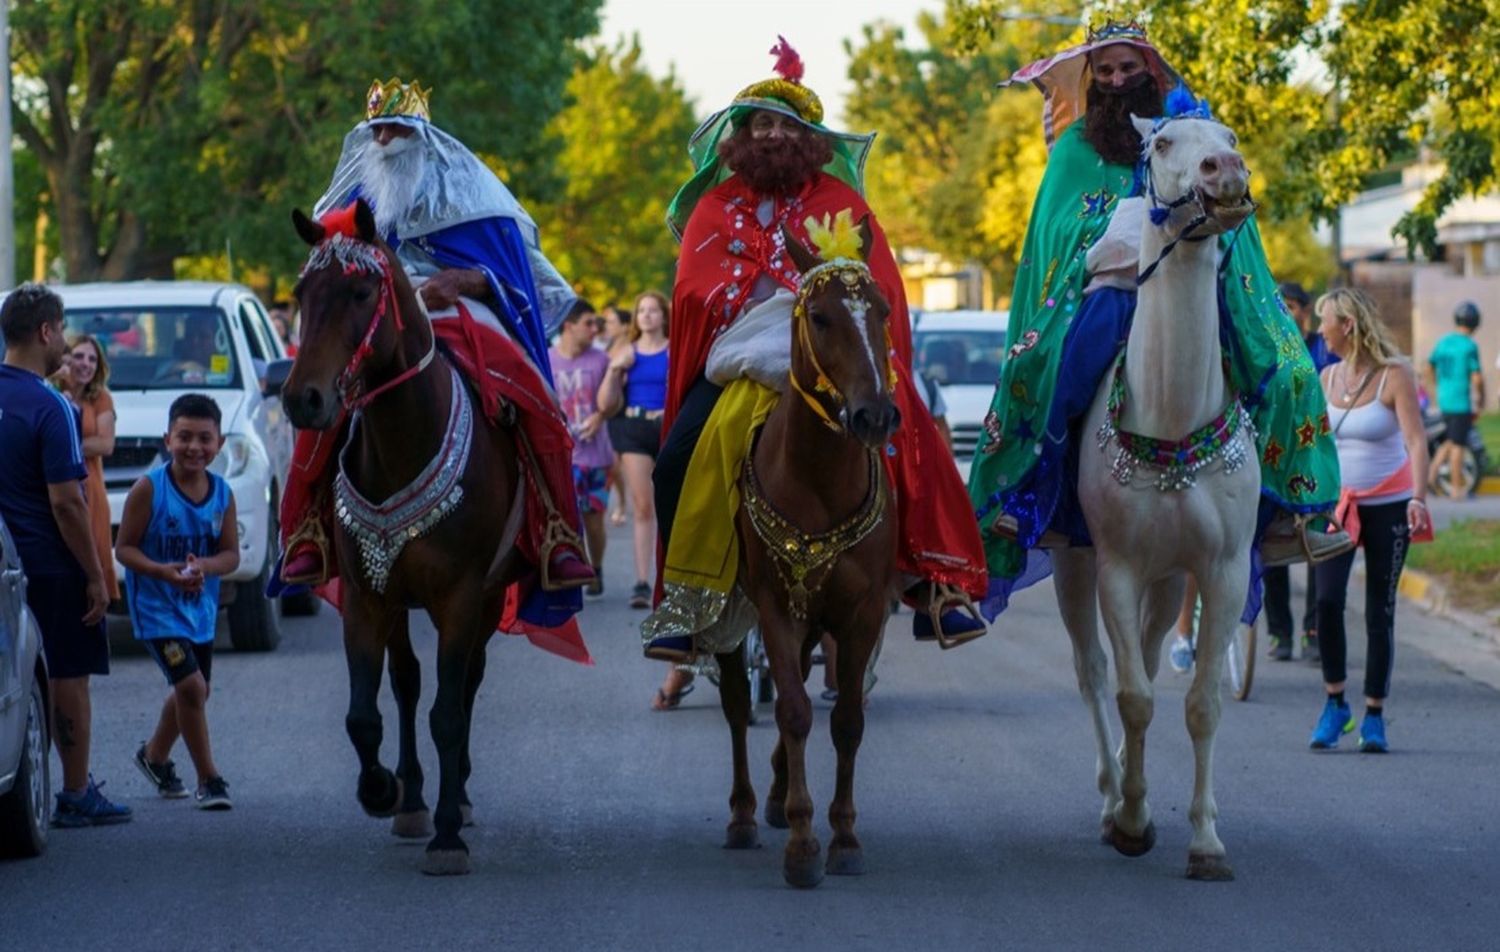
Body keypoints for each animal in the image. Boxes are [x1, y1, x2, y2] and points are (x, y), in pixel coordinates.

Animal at [283, 200, 525, 881]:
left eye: (362, 292)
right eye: (301, 294)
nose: (303, 400)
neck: (402, 443)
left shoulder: (463, 595)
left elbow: (449, 711)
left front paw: (448, 835)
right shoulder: (368, 593)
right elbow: (366, 713)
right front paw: (382, 790)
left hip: (490, 597)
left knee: (464, 684)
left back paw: (456, 797)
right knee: (409, 683)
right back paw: (414, 798)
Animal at [714, 220, 900, 887]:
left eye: (882, 310)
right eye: (819, 317)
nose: (875, 416)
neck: (819, 482)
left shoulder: (862, 612)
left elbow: (846, 719)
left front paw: (844, 838)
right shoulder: (773, 606)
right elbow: (793, 712)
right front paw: (801, 844)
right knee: (738, 704)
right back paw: (745, 813)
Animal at [1050, 111, 1260, 881]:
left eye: (1230, 135)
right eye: (1163, 143)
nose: (1225, 172)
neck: (1170, 418)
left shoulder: (1222, 570)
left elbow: (1200, 704)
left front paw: (1205, 840)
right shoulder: (1114, 566)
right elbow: (1133, 696)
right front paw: (1135, 820)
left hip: (1171, 579)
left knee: (1142, 646)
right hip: (1073, 563)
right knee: (1094, 671)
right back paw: (1114, 796)